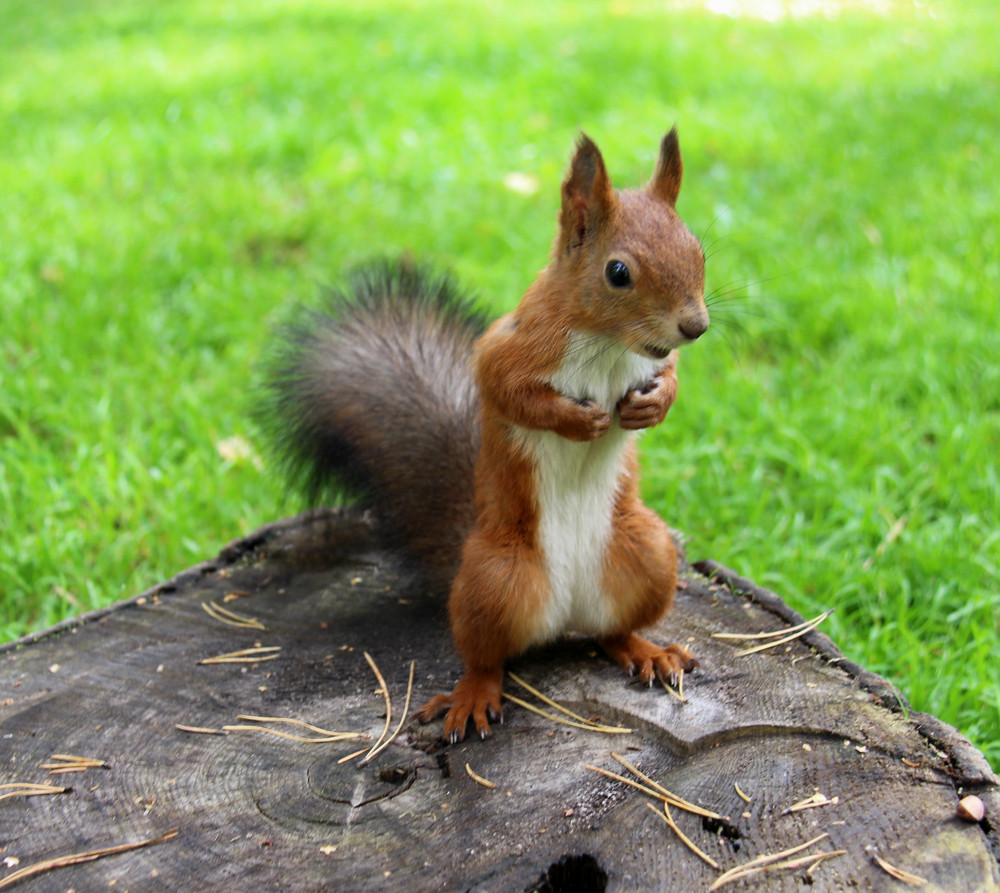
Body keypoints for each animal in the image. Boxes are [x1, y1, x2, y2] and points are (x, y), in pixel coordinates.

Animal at [262, 129, 708, 744]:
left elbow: (671, 378)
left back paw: (647, 650)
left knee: (610, 634)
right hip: (496, 579)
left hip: (648, 552)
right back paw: (472, 695)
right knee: (486, 656)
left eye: (699, 249)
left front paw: (652, 405)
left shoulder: (652, 361)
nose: (696, 326)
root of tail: (562, 617)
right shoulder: (509, 349)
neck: (609, 344)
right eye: (618, 272)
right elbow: (508, 393)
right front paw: (579, 422)